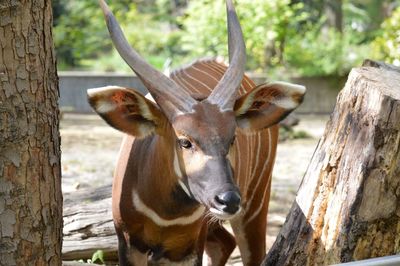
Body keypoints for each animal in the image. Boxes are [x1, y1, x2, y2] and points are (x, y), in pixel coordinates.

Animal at [88, 1, 306, 264]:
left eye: (232, 138)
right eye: (184, 141)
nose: (228, 200)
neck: (167, 216)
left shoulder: (187, 247)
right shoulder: (130, 242)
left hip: (255, 204)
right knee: (225, 242)